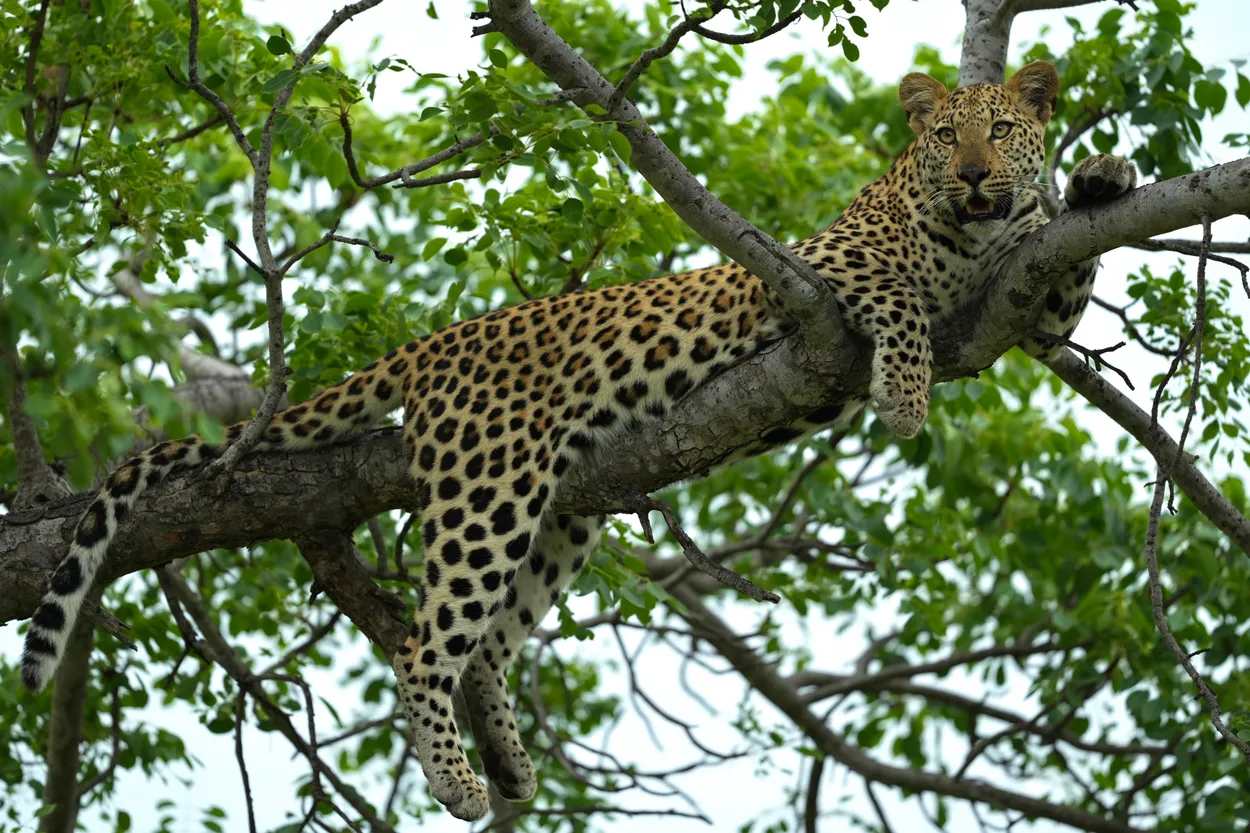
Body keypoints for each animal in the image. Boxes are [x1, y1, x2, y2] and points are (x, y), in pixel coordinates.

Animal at [19, 60, 1136, 822]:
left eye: (1001, 128)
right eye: (944, 137)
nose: (978, 178)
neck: (972, 238)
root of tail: (442, 339)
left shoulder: (1024, 305)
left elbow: (1060, 287)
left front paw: (1097, 179)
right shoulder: (817, 267)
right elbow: (898, 298)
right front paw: (903, 394)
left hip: (556, 517)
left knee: (485, 644)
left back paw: (509, 764)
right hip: (488, 486)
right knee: (423, 644)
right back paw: (459, 779)